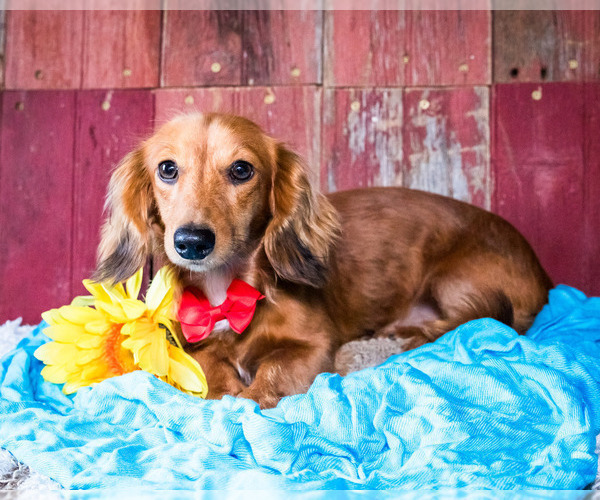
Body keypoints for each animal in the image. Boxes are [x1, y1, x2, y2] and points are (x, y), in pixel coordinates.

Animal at [95, 113, 552, 410]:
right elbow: (210, 366)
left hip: (453, 279)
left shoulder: (314, 346)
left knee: (470, 320)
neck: (233, 294)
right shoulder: (194, 344)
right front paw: (225, 391)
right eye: (167, 169)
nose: (192, 242)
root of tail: (543, 275)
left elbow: (276, 366)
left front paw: (253, 396)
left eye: (241, 170)